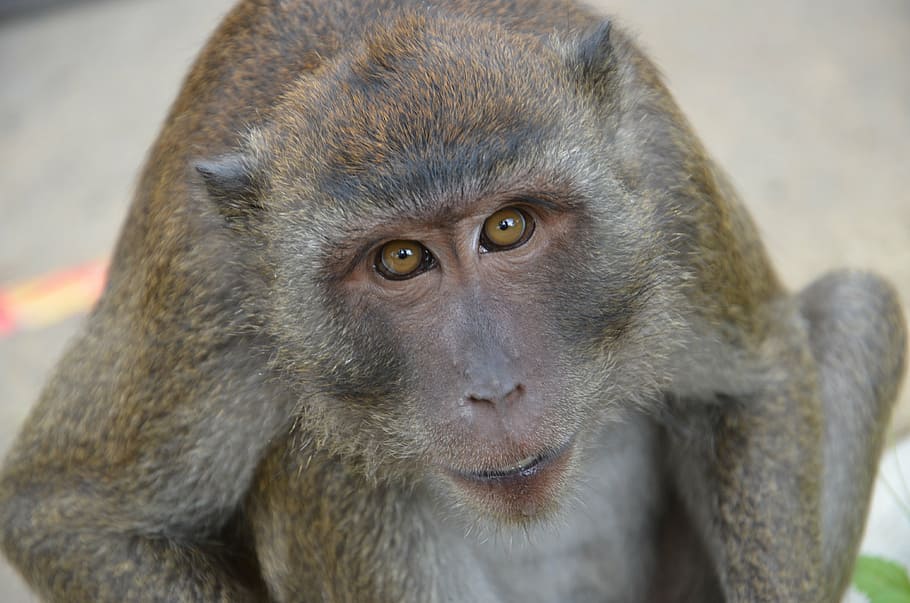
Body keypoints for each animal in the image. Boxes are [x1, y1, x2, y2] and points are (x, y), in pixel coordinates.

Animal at [0, 0, 905, 601]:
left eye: (508, 227)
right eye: (401, 259)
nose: (495, 387)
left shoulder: (663, 170)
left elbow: (753, 378)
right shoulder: (203, 278)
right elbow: (64, 512)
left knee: (861, 307)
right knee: (324, 459)